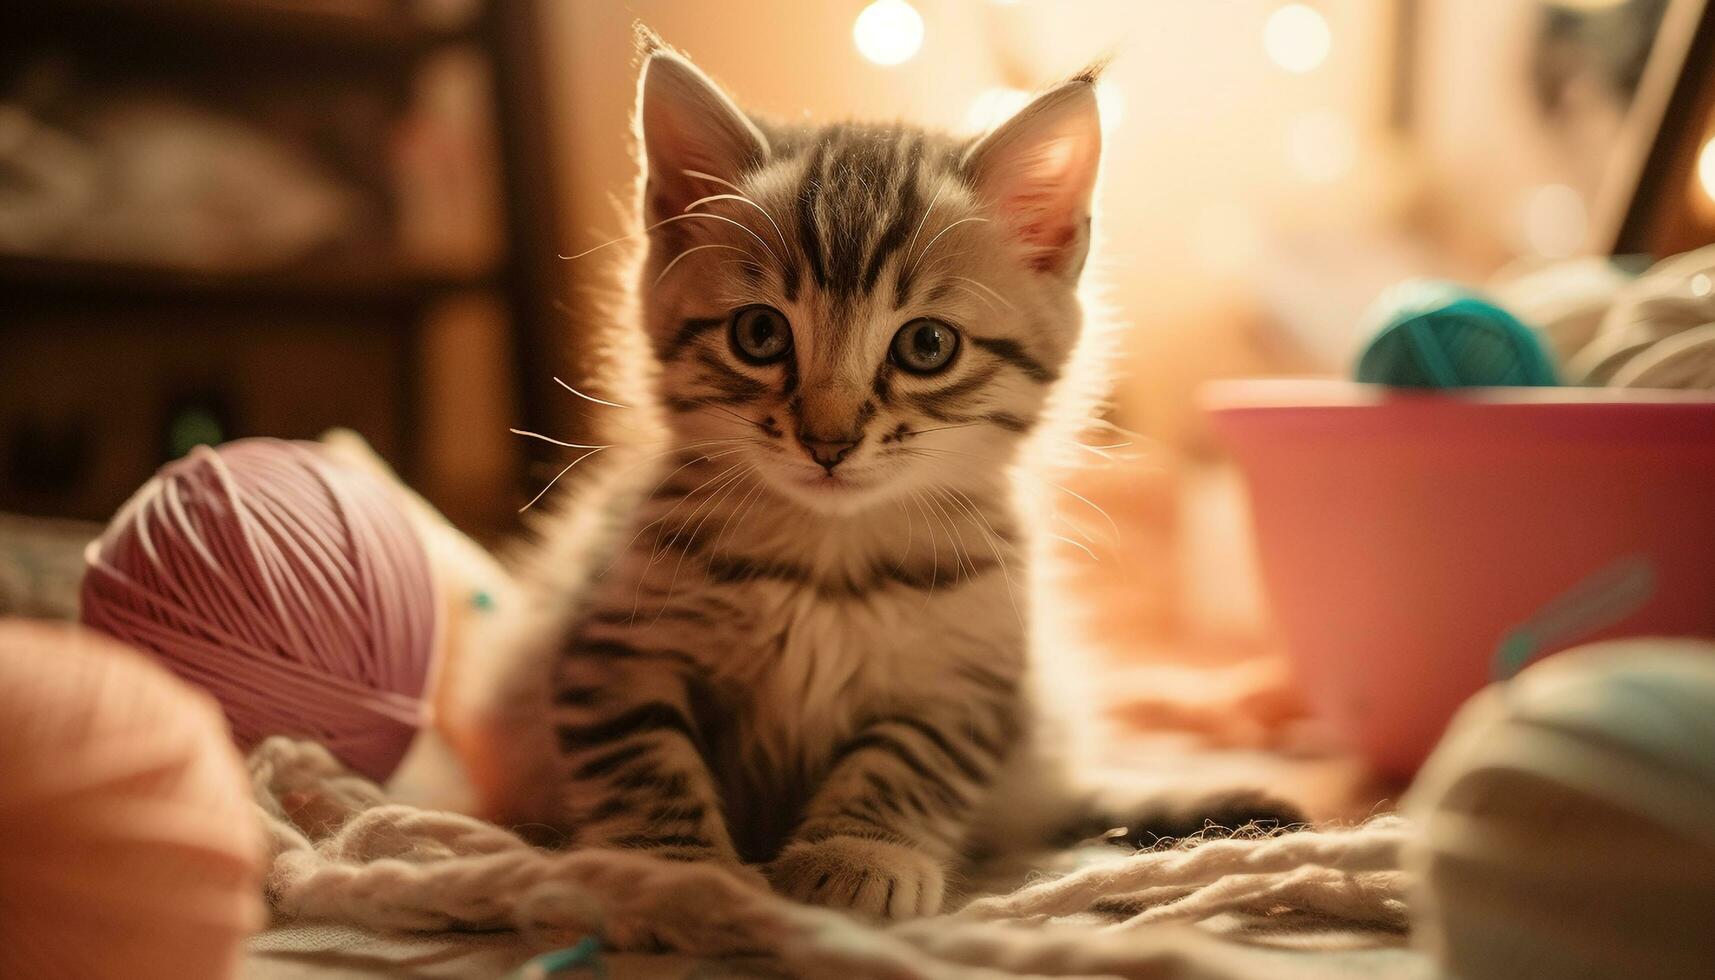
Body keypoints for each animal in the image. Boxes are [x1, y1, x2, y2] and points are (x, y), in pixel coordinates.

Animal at [483, 32, 1289, 919]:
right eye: (759, 334)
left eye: (926, 346)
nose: (827, 440)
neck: (826, 562)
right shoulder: (615, 648)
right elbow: (646, 760)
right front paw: (678, 870)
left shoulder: (963, 679)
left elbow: (905, 762)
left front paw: (856, 850)